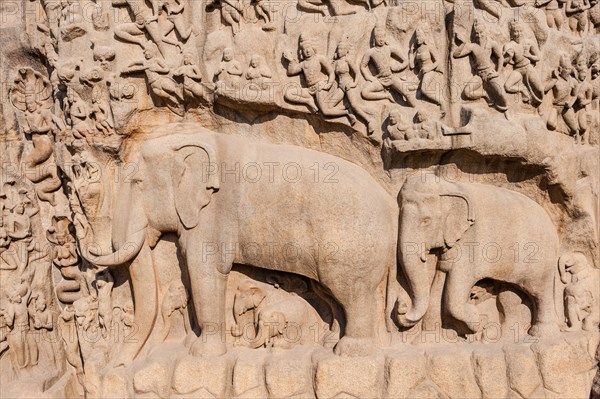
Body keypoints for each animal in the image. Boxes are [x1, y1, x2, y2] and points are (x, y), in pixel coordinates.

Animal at [396, 174, 560, 338]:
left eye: (426, 220)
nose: (401, 304)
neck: (449, 186)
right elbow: (439, 278)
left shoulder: (472, 241)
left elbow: (457, 287)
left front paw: (475, 321)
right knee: (509, 296)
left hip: (542, 259)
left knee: (540, 292)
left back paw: (540, 334)